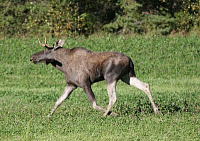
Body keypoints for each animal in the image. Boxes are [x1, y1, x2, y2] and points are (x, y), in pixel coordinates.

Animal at [30, 36, 159, 117]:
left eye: (46, 50)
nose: (32, 57)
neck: (63, 66)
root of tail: (130, 61)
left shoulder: (85, 82)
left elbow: (94, 104)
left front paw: (114, 113)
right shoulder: (71, 84)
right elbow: (58, 101)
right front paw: (48, 115)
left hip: (110, 77)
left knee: (113, 98)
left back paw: (105, 115)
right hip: (127, 76)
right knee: (145, 86)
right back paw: (157, 110)